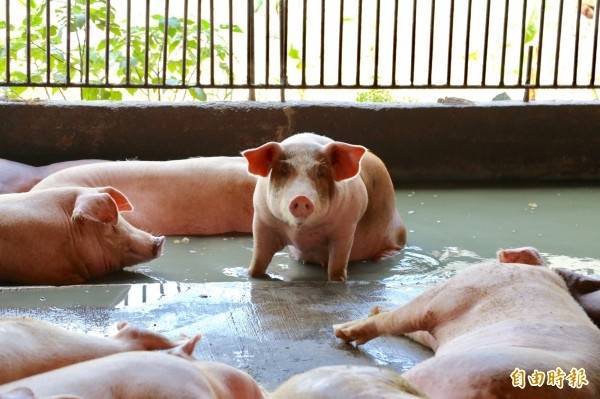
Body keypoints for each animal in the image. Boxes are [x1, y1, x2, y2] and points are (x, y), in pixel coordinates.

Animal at [241, 134, 406, 282]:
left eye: (321, 172)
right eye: (283, 170)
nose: (301, 198)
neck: (302, 234)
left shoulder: (346, 226)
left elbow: (338, 261)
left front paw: (338, 280)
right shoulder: (262, 220)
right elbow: (259, 256)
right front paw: (252, 275)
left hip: (396, 230)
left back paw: (381, 257)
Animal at [332, 248, 600, 398]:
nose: (336, 329)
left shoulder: (455, 291)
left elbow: (403, 317)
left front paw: (341, 330)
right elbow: (416, 329)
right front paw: (374, 309)